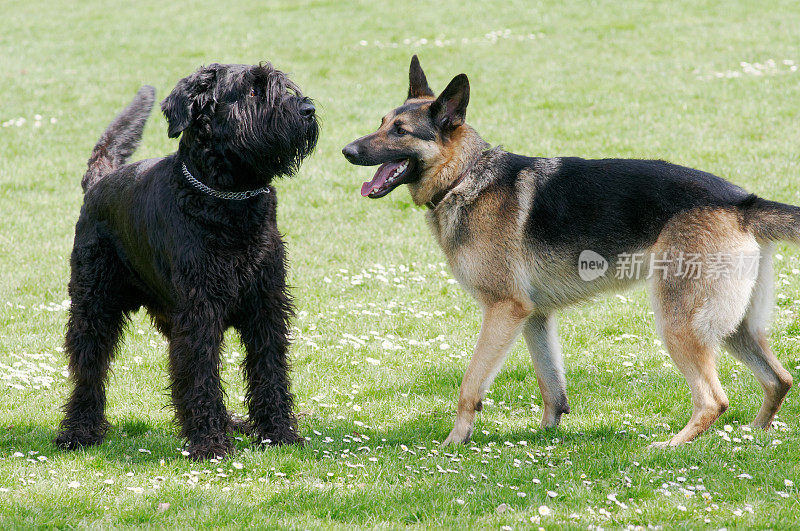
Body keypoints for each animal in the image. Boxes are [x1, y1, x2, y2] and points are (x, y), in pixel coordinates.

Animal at [56, 63, 318, 462]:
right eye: (253, 90)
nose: (307, 110)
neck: (229, 199)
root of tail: (100, 181)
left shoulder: (266, 306)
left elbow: (269, 370)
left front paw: (279, 433)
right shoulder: (200, 311)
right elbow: (200, 375)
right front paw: (209, 443)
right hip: (94, 305)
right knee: (89, 367)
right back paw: (78, 431)